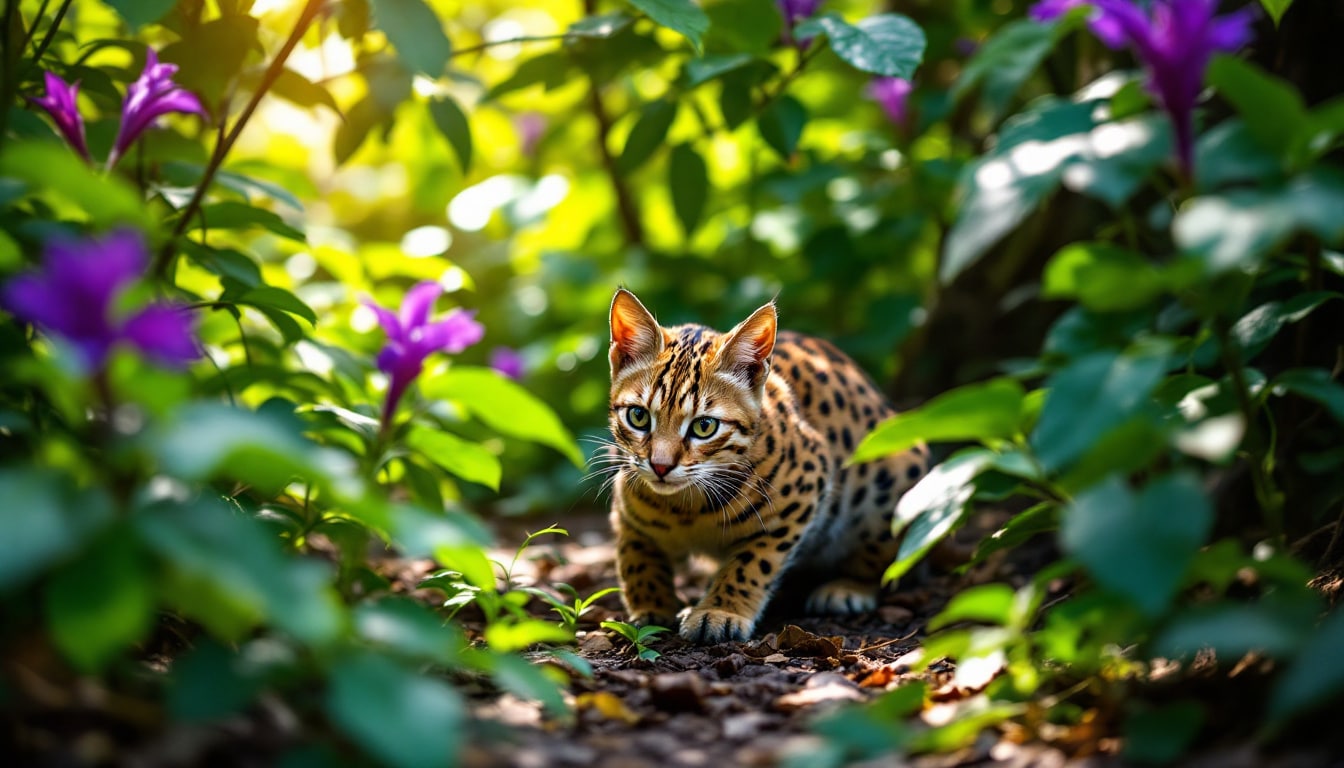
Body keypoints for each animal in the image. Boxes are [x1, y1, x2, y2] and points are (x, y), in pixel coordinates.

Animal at [604, 287, 930, 642]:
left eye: (704, 426)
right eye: (638, 417)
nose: (660, 466)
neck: (685, 509)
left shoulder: (802, 494)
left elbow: (752, 561)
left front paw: (719, 610)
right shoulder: (625, 508)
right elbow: (635, 556)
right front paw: (650, 607)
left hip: (894, 479)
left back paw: (847, 588)